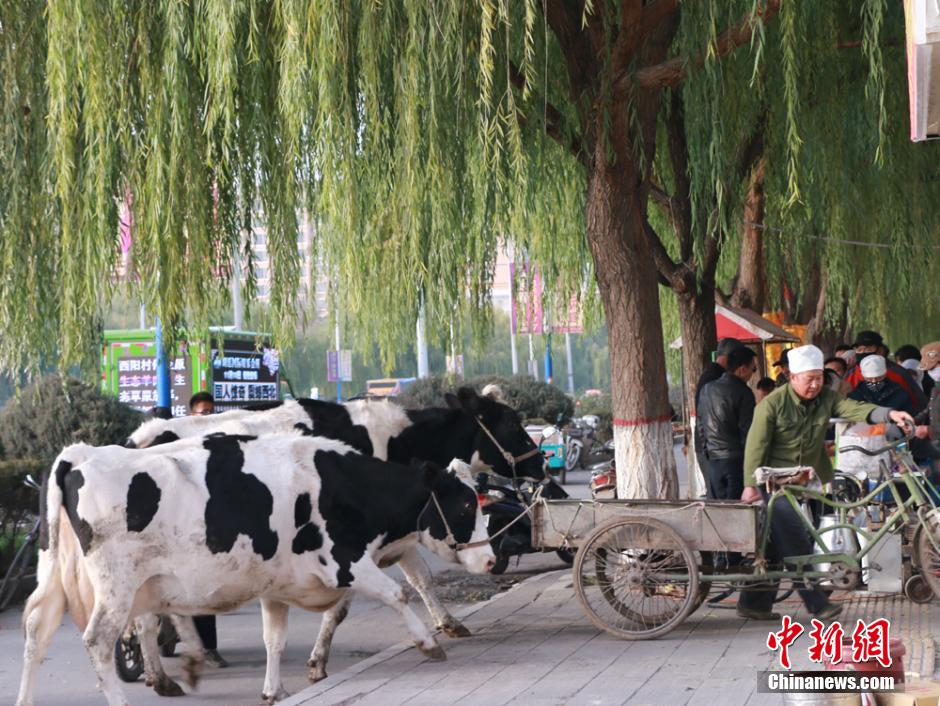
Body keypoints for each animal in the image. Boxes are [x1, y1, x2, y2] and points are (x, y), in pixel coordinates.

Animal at [14, 432, 492, 700]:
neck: (345, 485)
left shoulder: (278, 584)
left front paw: (275, 688)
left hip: (60, 574)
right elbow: (398, 592)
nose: (490, 558)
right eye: (467, 504)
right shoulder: (344, 561)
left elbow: (275, 638)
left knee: (37, 631)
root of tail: (80, 455)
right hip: (116, 585)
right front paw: (428, 644)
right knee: (98, 640)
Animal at [125, 384, 564, 680]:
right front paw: (318, 660)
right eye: (513, 424)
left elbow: (420, 578)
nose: (543, 464)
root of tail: (142, 435)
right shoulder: (349, 544)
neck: (395, 439)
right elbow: (343, 605)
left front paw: (449, 622)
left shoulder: (400, 528)